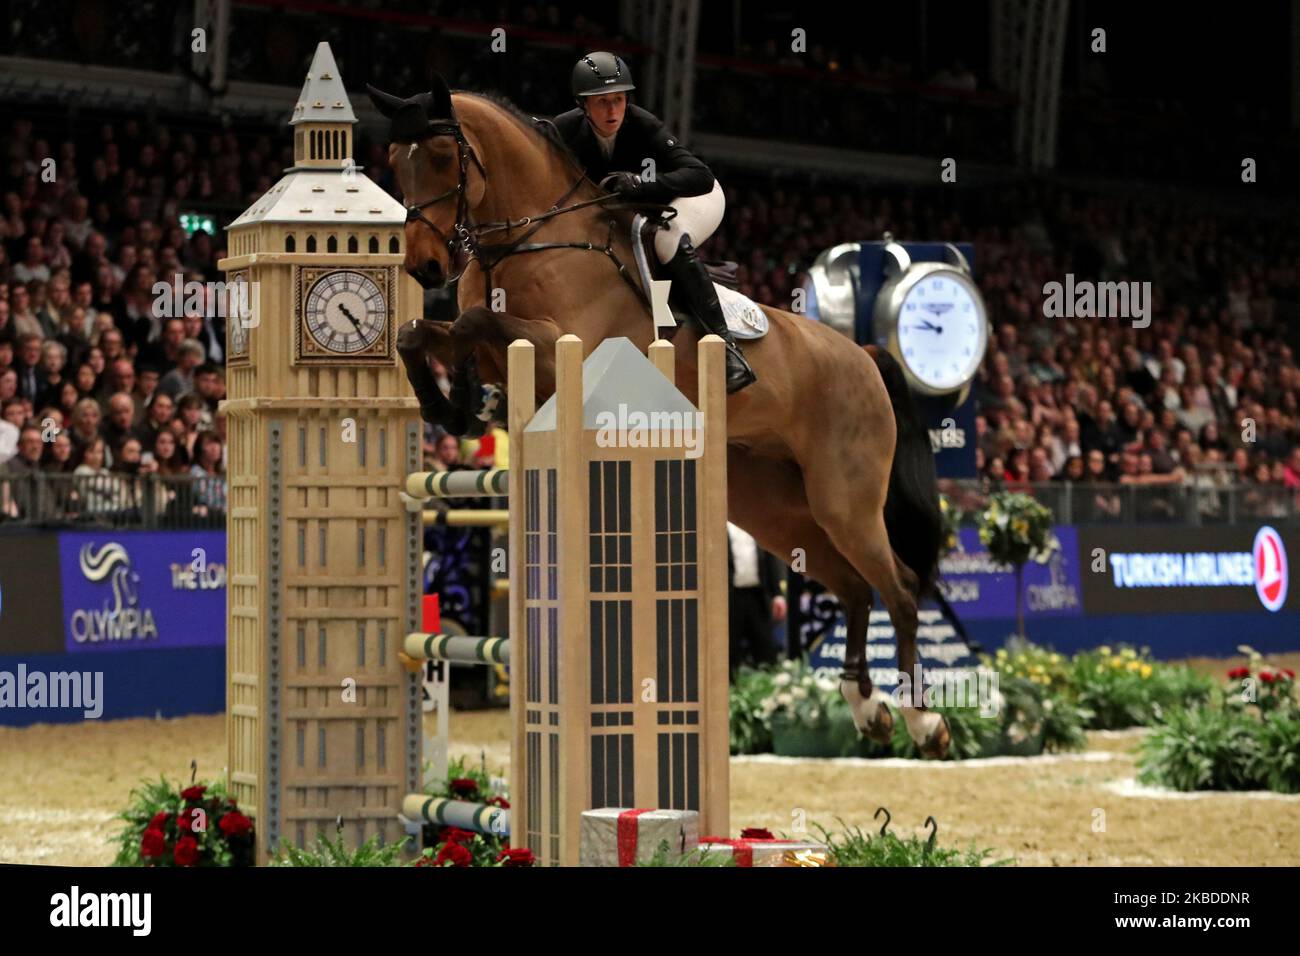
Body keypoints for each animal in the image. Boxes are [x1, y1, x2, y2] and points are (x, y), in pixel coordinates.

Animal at [371, 76, 951, 754]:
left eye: (441, 156)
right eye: (394, 162)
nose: (426, 267)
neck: (527, 240)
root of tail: (863, 354)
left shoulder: (559, 345)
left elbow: (470, 320)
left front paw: (457, 399)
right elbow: (421, 331)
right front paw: (453, 404)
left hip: (844, 497)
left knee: (900, 587)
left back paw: (923, 721)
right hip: (777, 506)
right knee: (855, 587)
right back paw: (868, 710)